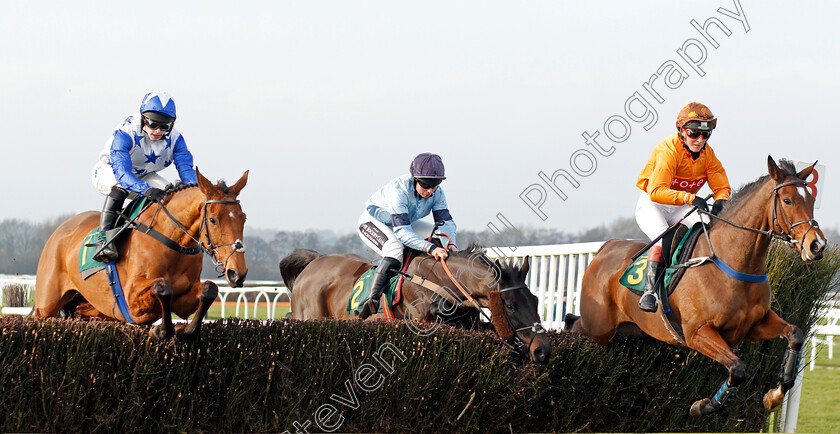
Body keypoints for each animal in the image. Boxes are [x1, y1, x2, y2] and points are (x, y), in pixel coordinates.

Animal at [34, 170, 249, 340]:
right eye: (212, 220)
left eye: (243, 218)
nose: (237, 273)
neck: (173, 242)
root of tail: (60, 230)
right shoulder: (132, 300)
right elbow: (163, 286)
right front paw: (162, 330)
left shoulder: (183, 301)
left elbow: (209, 289)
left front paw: (186, 331)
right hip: (46, 306)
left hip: (95, 307)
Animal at [278, 244, 552, 362]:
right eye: (510, 305)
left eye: (536, 300)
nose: (543, 350)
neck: (442, 282)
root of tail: (315, 261)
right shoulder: (418, 319)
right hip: (310, 315)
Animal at [564, 157, 828, 418]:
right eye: (787, 200)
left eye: (812, 200)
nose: (817, 245)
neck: (733, 261)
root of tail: (605, 249)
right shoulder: (697, 332)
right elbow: (737, 368)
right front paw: (704, 405)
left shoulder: (754, 325)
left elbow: (795, 334)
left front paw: (774, 396)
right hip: (597, 329)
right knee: (573, 323)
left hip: (631, 331)